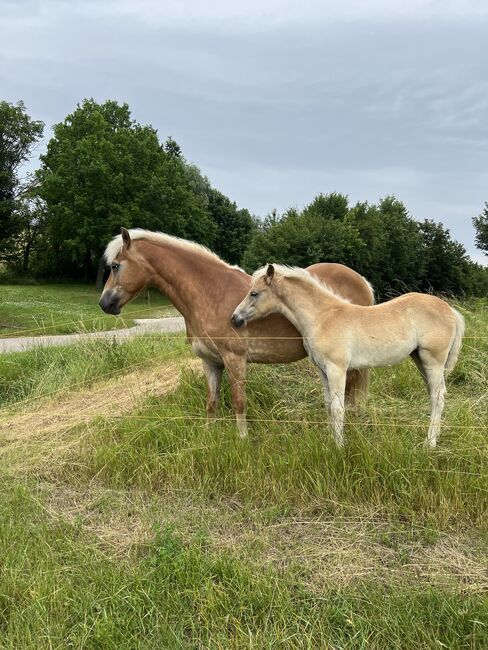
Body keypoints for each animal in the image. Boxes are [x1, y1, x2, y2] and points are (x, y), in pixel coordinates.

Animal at [98, 228, 374, 436]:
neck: (210, 292)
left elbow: (238, 402)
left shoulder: (235, 359)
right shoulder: (210, 361)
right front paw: (208, 435)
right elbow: (212, 402)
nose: (104, 304)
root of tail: (361, 280)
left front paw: (242, 440)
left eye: (115, 266)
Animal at [233, 264, 466, 446]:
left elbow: (338, 408)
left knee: (438, 395)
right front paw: (330, 440)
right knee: (434, 395)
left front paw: (339, 446)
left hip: (433, 360)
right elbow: (328, 406)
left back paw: (430, 443)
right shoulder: (323, 371)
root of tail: (451, 311)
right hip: (420, 360)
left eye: (254, 293)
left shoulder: (337, 368)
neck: (322, 317)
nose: (235, 318)